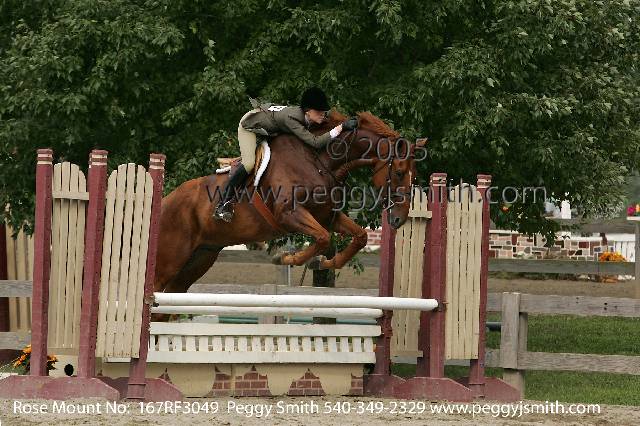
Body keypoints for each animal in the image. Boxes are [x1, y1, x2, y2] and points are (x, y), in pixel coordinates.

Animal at [153, 111, 419, 295]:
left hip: (199, 259)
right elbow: (322, 238)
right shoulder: (289, 214)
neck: (319, 160)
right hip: (169, 260)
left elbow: (359, 237)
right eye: (398, 173)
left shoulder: (326, 216)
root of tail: (165, 202)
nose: (399, 219)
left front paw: (324, 262)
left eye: (413, 177)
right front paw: (285, 259)